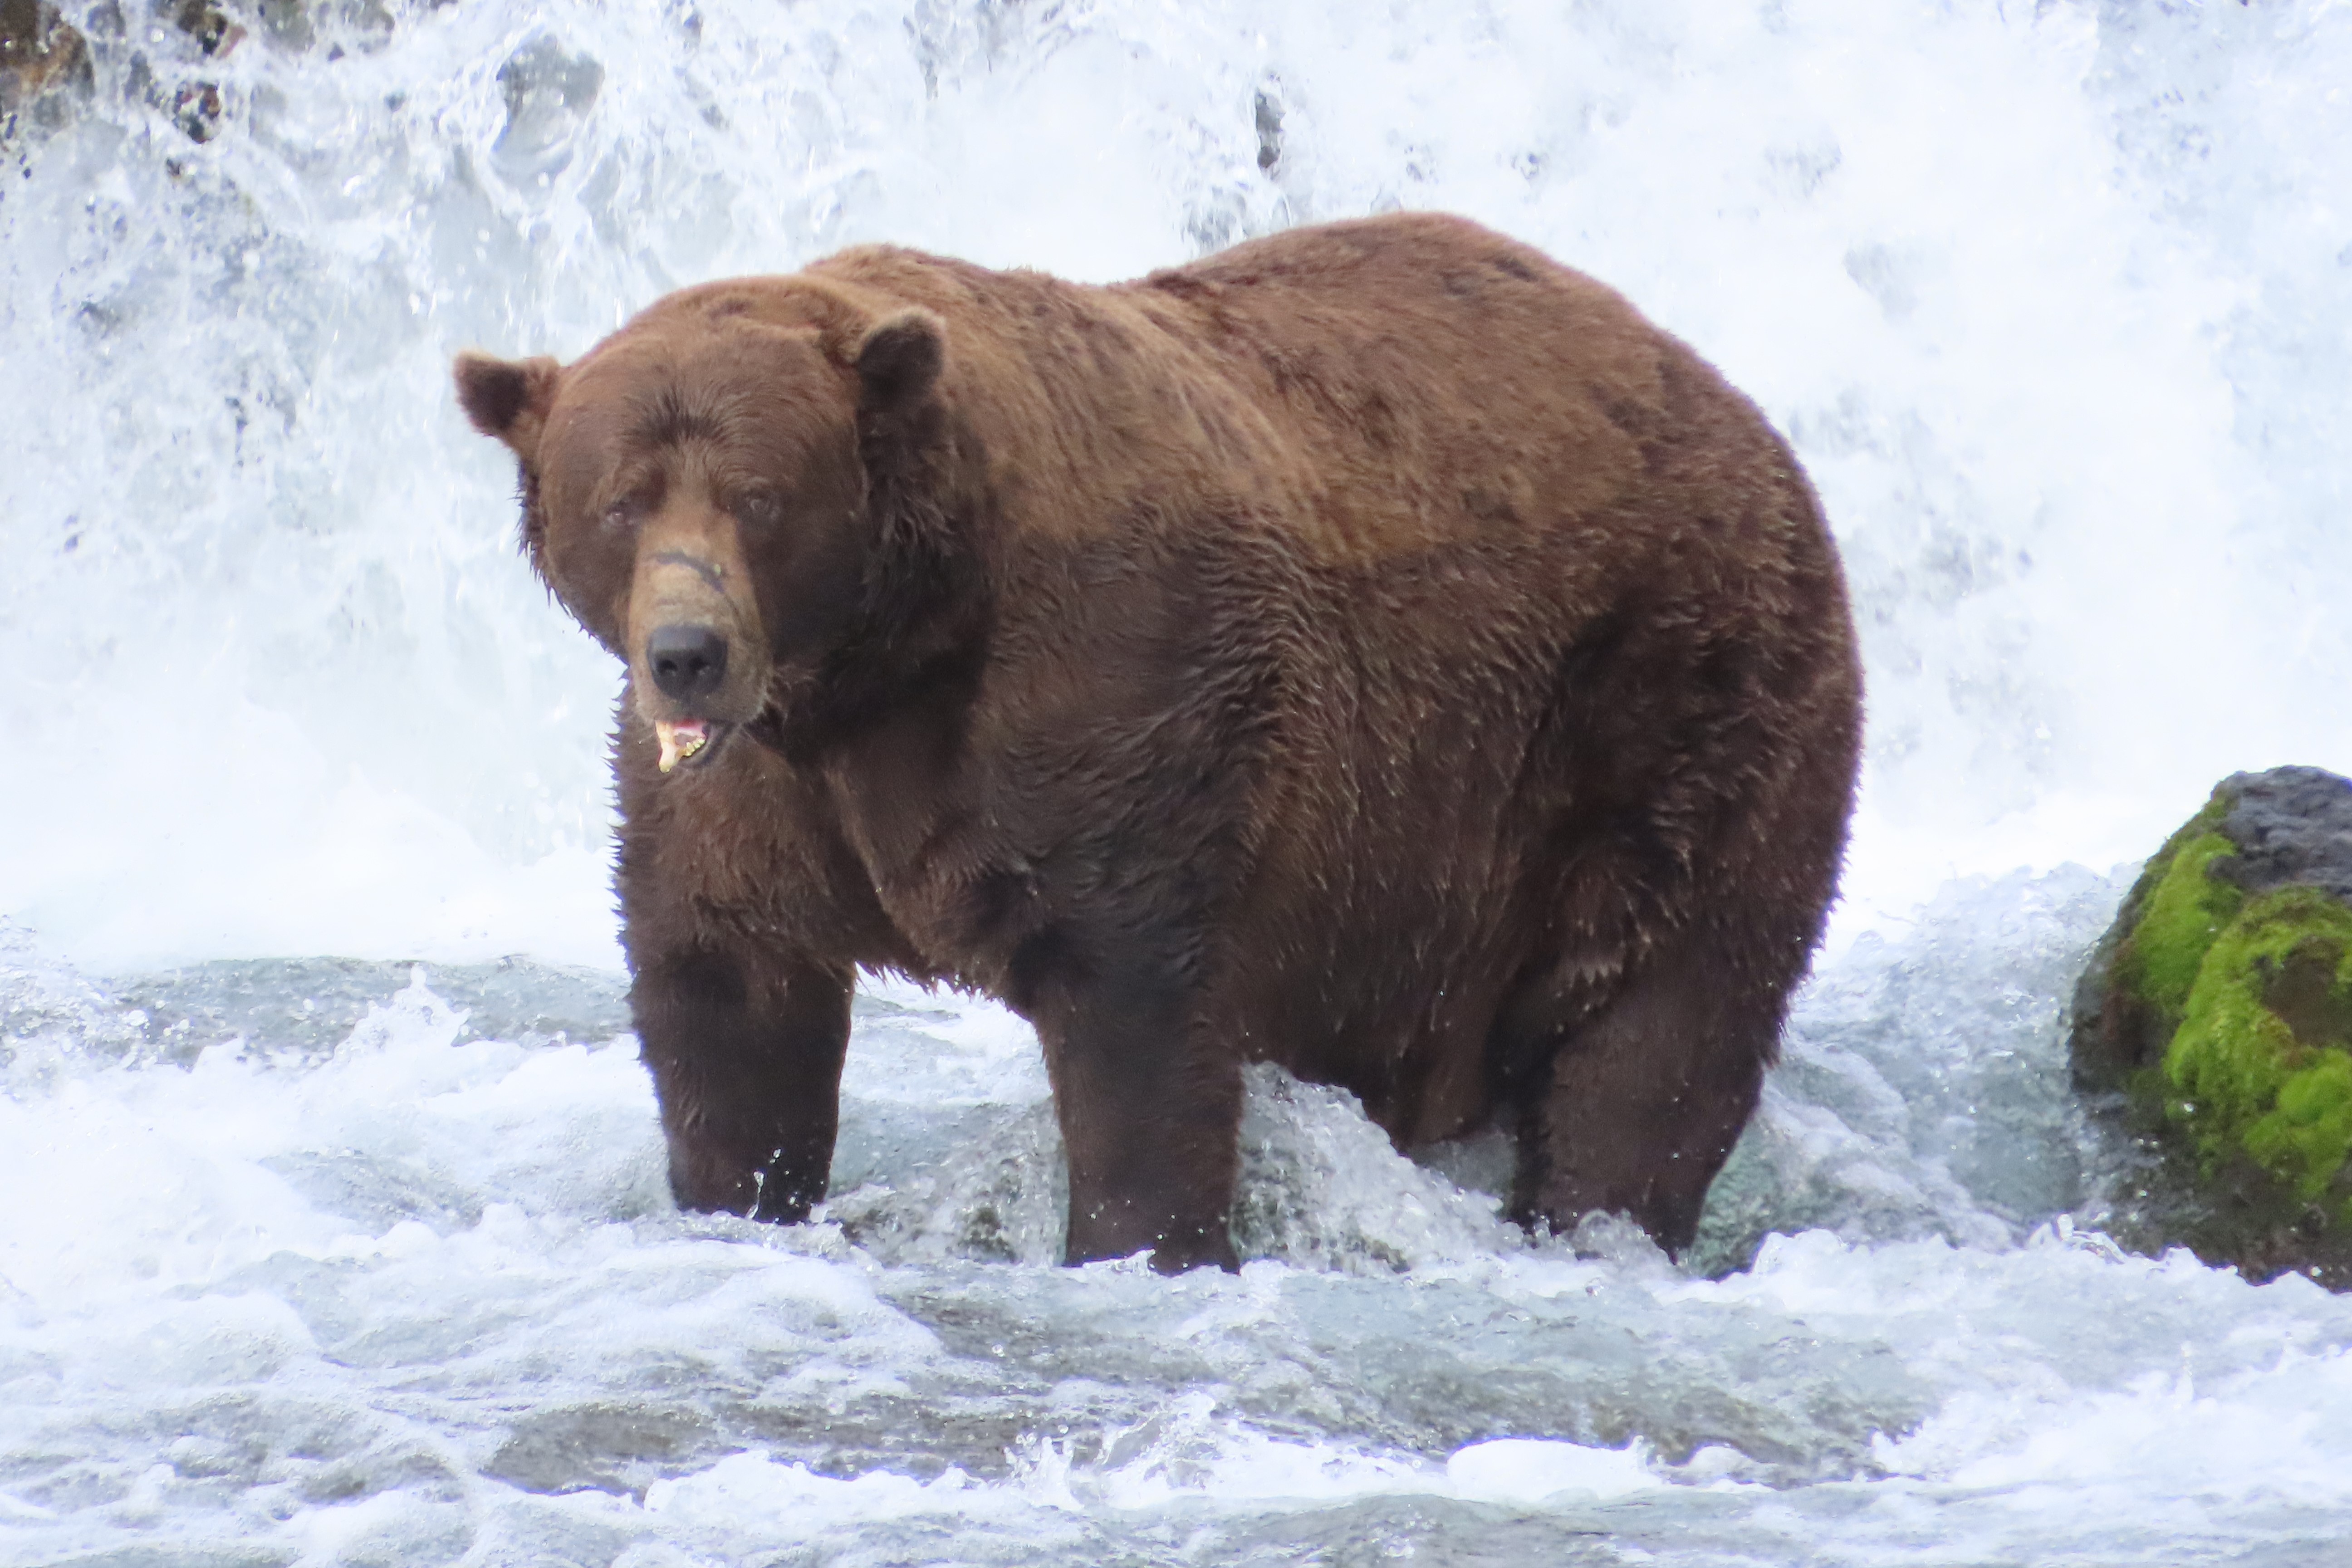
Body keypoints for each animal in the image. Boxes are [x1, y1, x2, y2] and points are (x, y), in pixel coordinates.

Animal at [454, 212, 1863, 1273]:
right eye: (621, 500)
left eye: (759, 496)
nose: (688, 650)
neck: (881, 663)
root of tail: (1732, 404)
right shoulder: (753, 795)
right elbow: (726, 989)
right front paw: (738, 1193)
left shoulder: (1114, 694)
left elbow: (1134, 1007)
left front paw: (1139, 1240)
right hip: (1426, 874)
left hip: (1674, 706)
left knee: (1662, 1025)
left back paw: (1599, 1221)